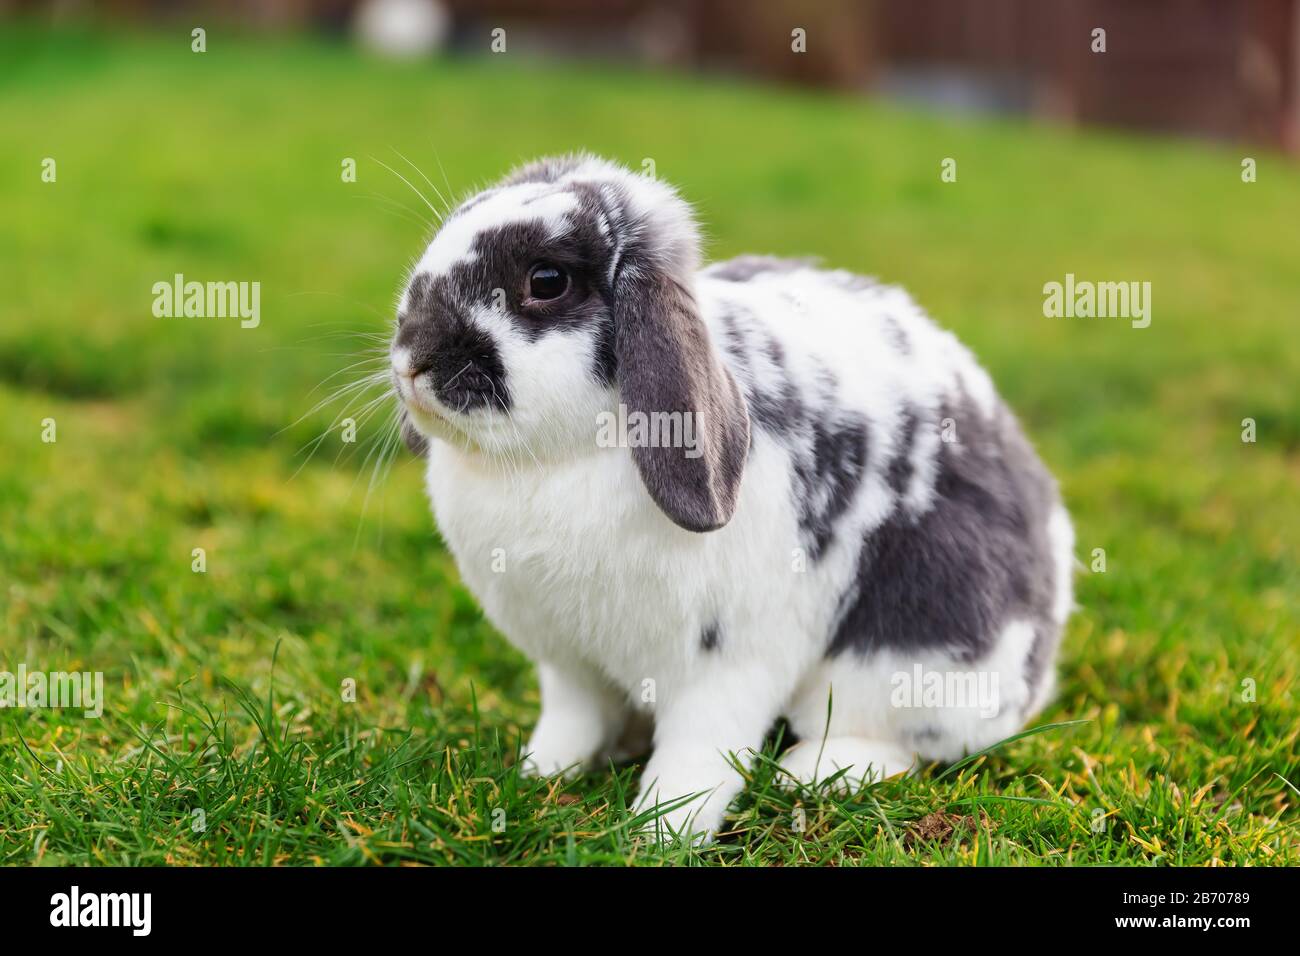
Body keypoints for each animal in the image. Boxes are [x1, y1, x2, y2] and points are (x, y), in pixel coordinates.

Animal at [388, 154, 1075, 842]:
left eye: (547, 281)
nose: (412, 357)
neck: (553, 462)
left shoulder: (727, 667)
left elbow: (699, 753)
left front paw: (660, 833)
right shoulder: (569, 668)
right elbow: (572, 723)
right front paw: (539, 775)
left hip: (912, 657)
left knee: (908, 740)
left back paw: (815, 772)